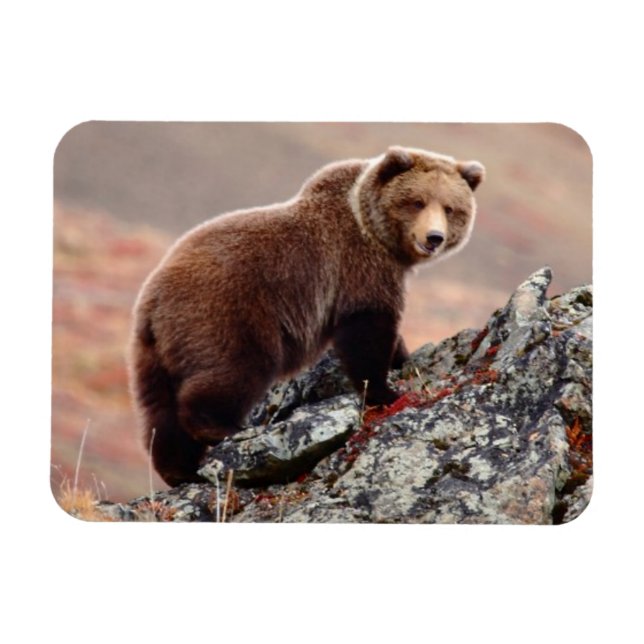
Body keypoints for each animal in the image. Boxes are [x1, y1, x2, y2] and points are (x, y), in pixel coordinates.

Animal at [128, 146, 485, 486]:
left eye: (450, 208)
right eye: (416, 202)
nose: (433, 237)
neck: (376, 233)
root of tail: (152, 300)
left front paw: (401, 359)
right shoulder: (358, 267)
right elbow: (367, 331)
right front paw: (387, 391)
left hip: (154, 352)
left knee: (159, 409)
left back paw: (178, 469)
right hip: (226, 314)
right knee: (235, 368)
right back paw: (220, 429)